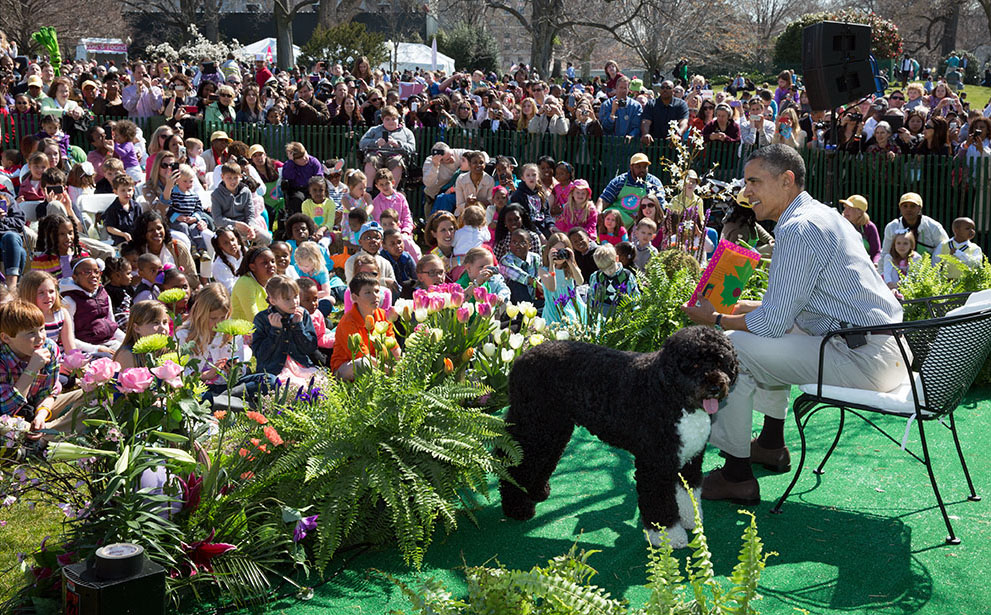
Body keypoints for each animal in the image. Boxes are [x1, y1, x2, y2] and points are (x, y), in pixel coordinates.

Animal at [504, 328, 736, 548]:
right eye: (694, 364)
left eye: (720, 361)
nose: (715, 386)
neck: (671, 395)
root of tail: (520, 359)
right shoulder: (655, 465)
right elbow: (660, 503)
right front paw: (669, 537)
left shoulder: (690, 458)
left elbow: (688, 494)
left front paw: (691, 520)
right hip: (534, 426)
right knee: (513, 463)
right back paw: (518, 508)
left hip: (553, 429)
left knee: (541, 460)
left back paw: (537, 492)